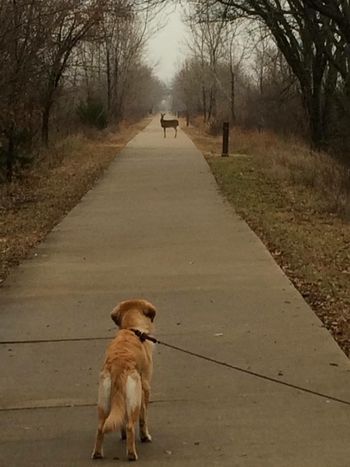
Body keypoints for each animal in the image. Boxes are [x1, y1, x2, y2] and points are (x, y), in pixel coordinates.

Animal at [91, 302, 157, 462]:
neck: (131, 328)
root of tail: (118, 365)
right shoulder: (145, 387)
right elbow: (143, 417)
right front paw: (145, 436)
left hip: (104, 400)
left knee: (101, 426)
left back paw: (97, 453)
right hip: (134, 398)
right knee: (130, 426)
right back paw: (132, 454)